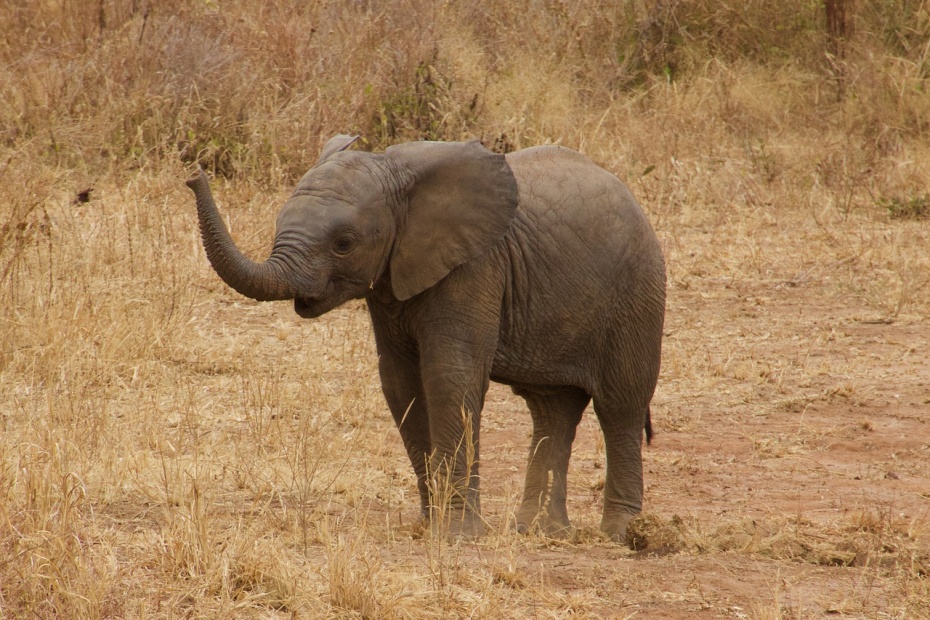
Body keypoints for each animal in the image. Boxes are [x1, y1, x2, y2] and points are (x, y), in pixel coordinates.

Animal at [188, 137, 664, 544]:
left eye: (344, 243)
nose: (192, 172)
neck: (395, 174)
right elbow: (401, 384)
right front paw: (428, 525)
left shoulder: (474, 267)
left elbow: (449, 378)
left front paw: (455, 536)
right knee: (552, 410)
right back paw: (538, 533)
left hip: (638, 293)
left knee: (620, 406)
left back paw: (623, 535)